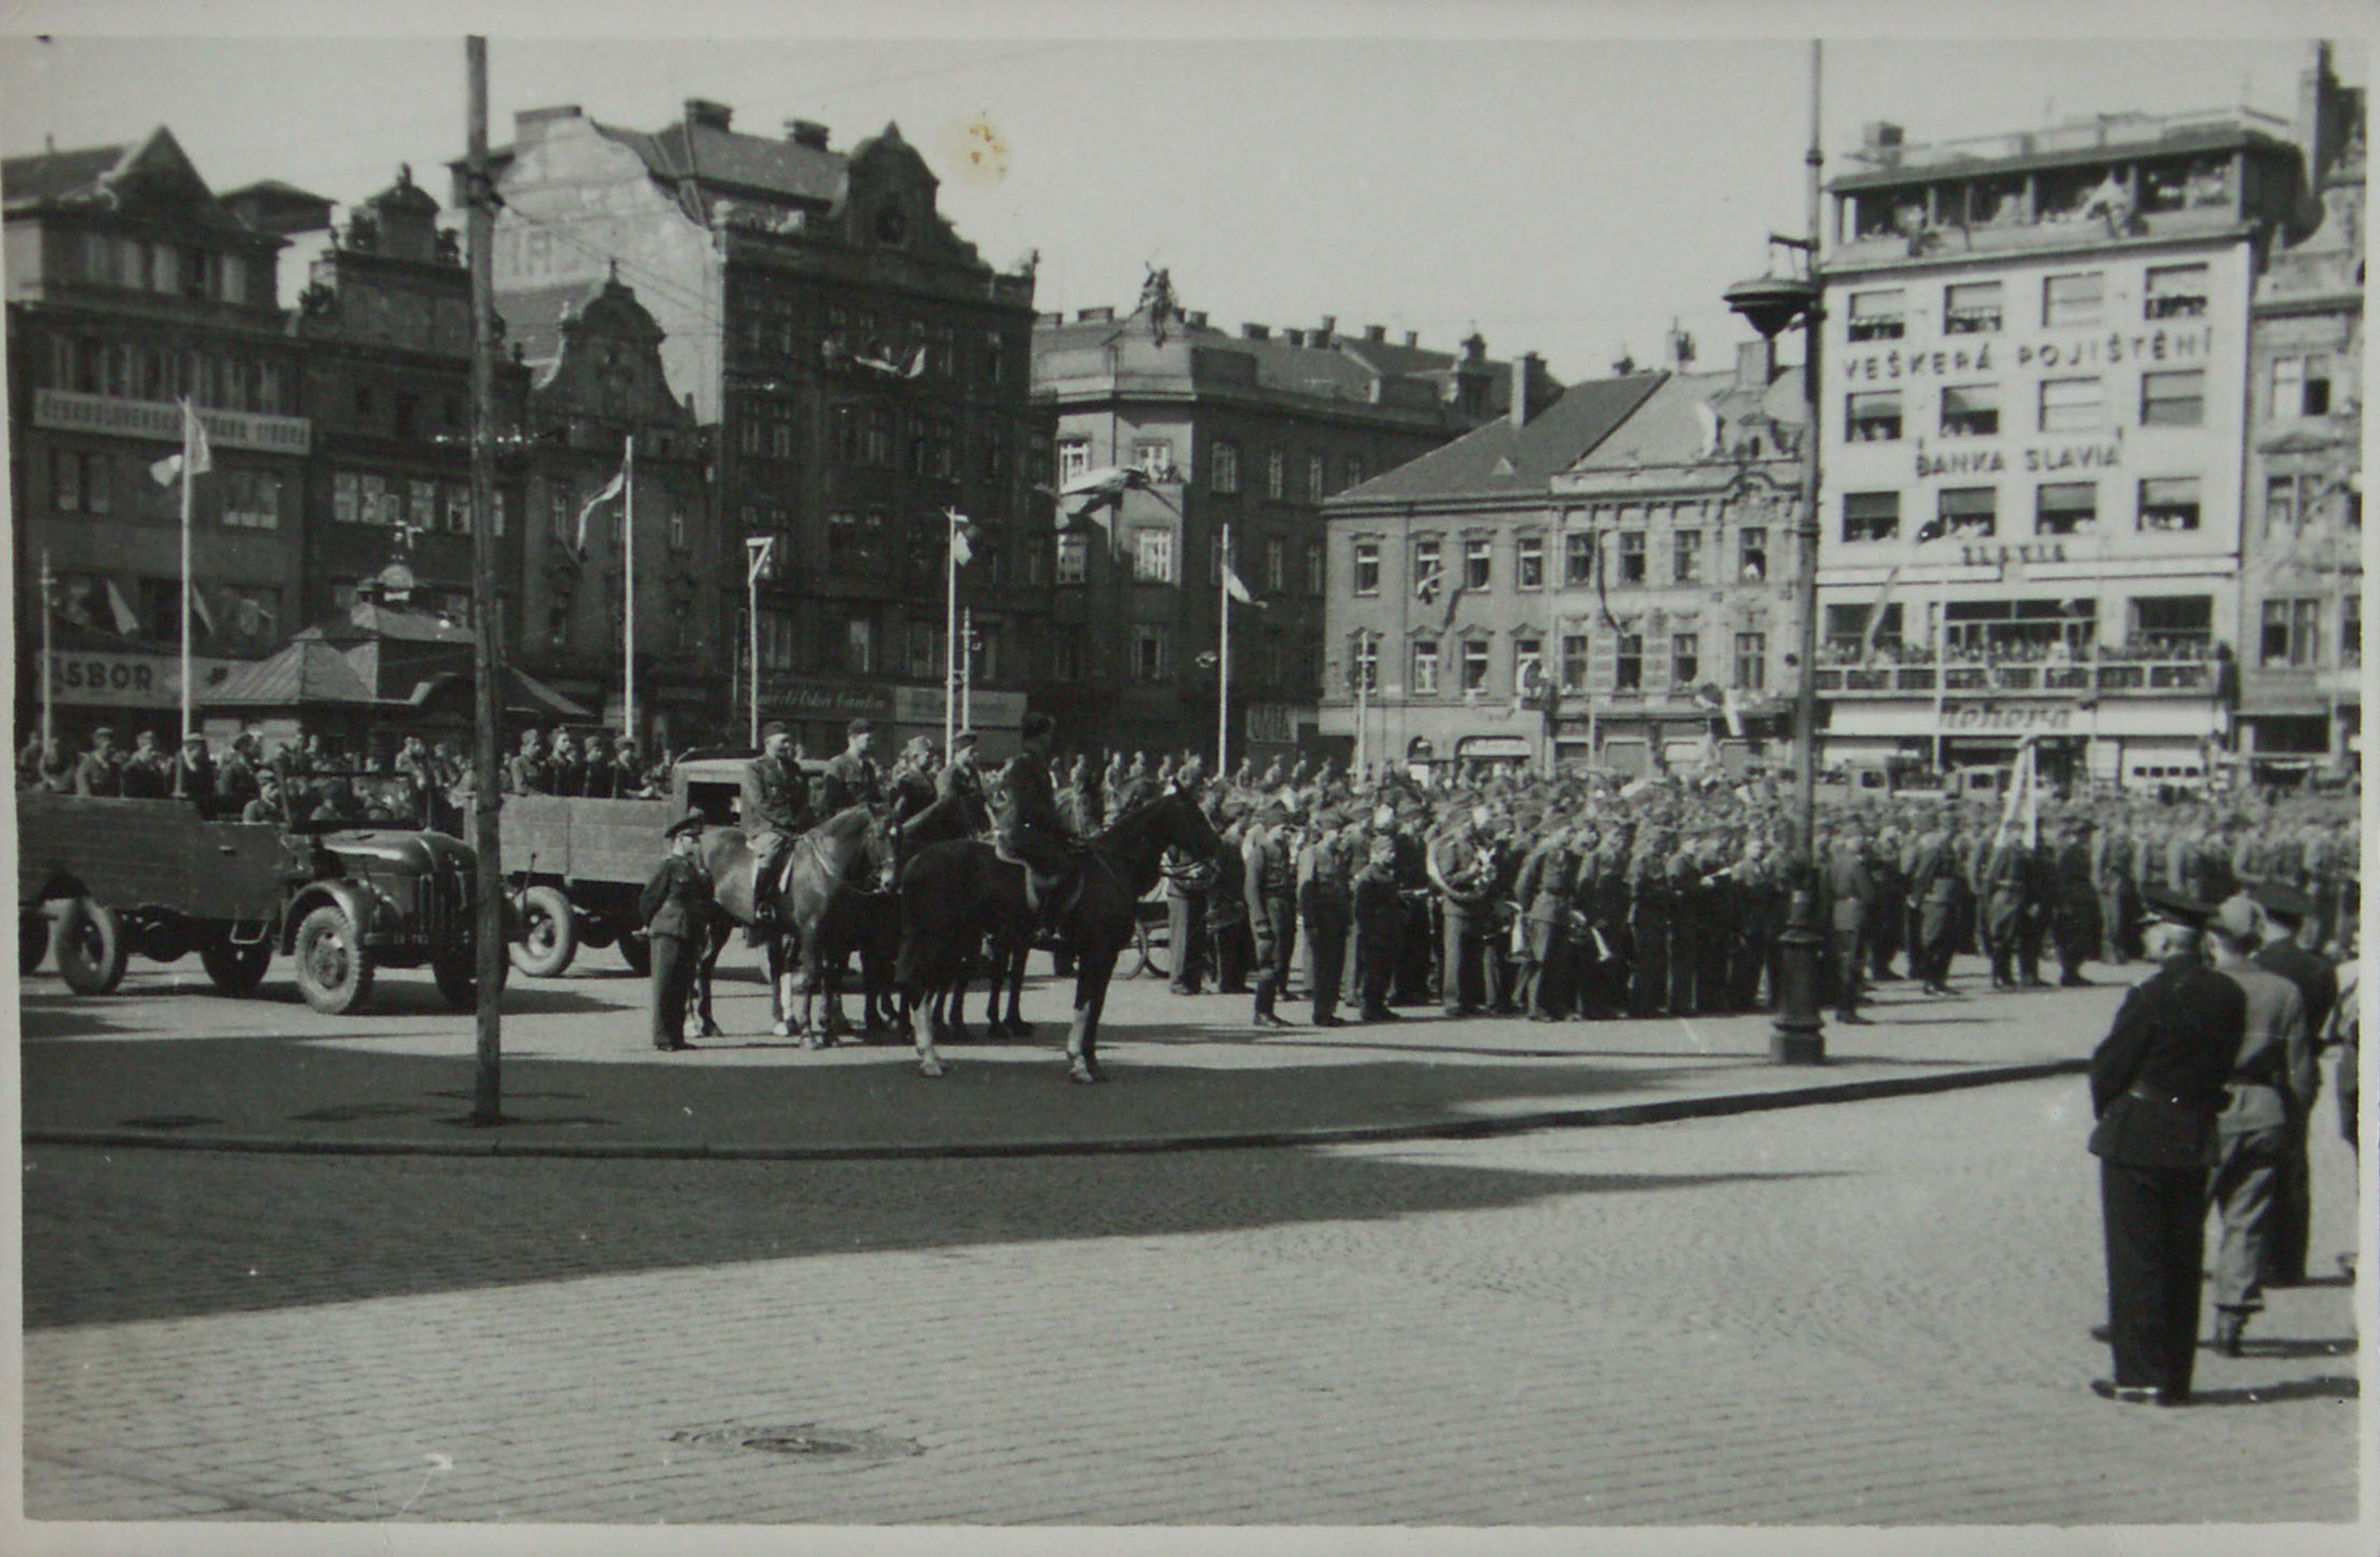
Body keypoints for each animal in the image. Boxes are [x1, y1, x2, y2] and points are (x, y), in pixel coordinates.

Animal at [690, 806, 890, 1045]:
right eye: (879, 836)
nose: (890, 880)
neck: (822, 869)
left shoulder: (835, 936)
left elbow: (831, 978)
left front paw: (828, 1031)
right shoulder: (811, 932)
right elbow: (812, 976)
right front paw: (808, 1033)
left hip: (721, 922)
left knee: (705, 965)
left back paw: (709, 1023)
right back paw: (693, 1024)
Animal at [896, 791, 1225, 1082]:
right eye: (1197, 815)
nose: (1218, 853)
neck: (1114, 866)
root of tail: (916, 860)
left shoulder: (1102, 956)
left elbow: (1092, 1007)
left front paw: (1089, 1062)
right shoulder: (1098, 953)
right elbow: (1087, 1005)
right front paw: (1081, 1063)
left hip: (953, 940)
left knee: (928, 986)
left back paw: (934, 1054)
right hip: (939, 939)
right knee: (919, 985)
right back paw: (929, 1058)